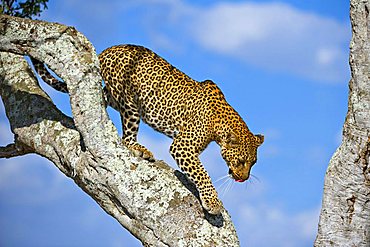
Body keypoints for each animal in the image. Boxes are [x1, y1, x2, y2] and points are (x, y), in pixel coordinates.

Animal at [31, 44, 264, 214]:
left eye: (253, 163)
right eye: (241, 161)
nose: (243, 178)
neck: (219, 123)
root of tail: (105, 51)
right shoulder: (182, 146)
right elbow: (201, 173)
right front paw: (212, 202)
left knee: (106, 99)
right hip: (130, 104)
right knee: (126, 137)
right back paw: (139, 149)